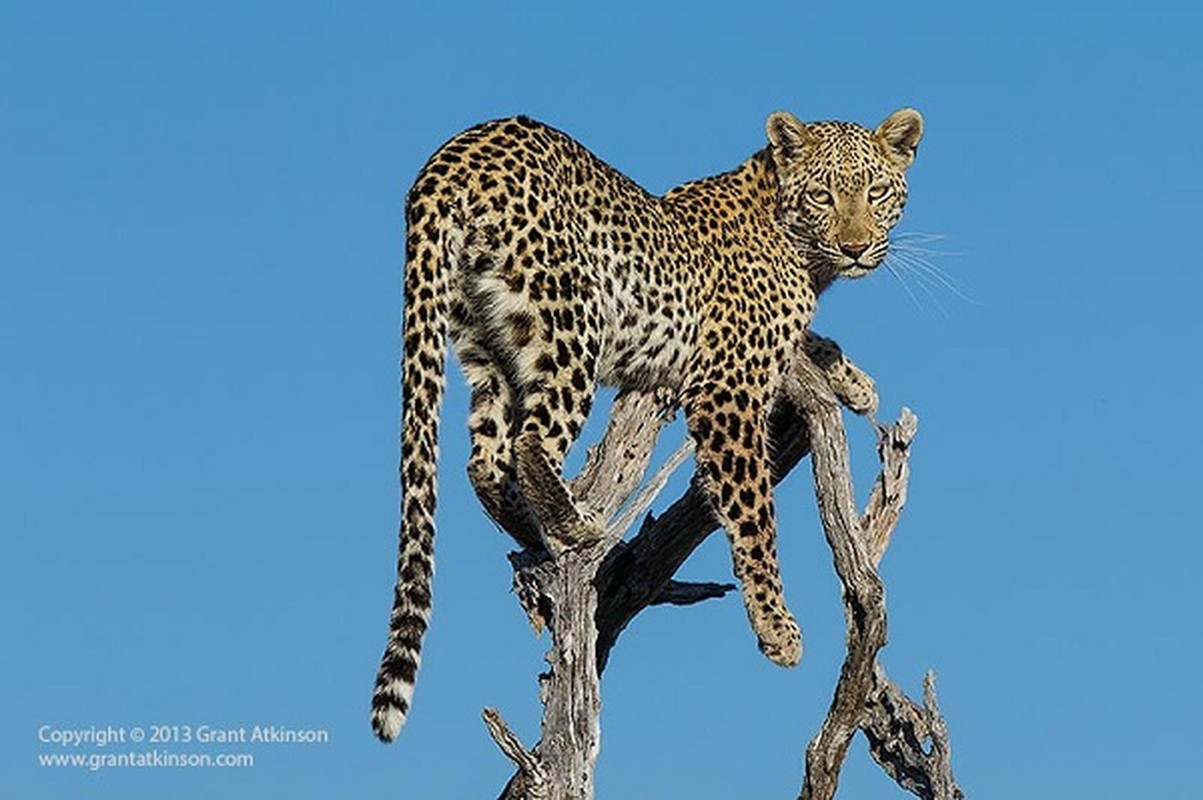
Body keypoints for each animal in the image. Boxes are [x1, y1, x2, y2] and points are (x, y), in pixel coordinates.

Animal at [370, 107, 923, 741]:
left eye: (876, 191)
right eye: (822, 194)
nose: (855, 248)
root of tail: (453, 155)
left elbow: (805, 345)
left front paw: (853, 380)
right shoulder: (726, 391)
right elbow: (754, 515)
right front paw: (776, 628)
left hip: (482, 342)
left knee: (485, 461)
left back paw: (533, 531)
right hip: (572, 320)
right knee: (530, 443)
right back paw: (575, 527)